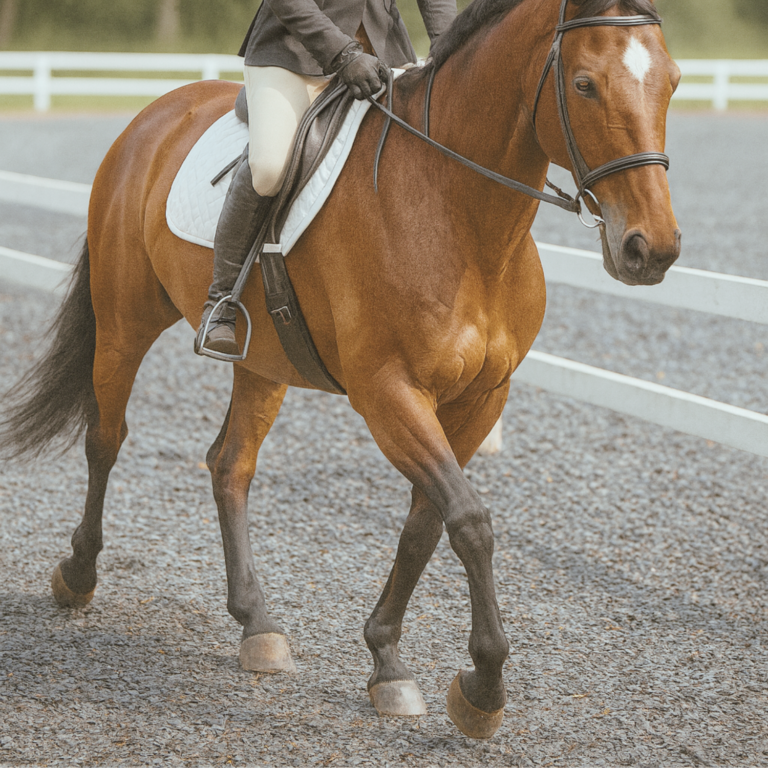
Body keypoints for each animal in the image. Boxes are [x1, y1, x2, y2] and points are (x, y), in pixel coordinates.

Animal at [0, 0, 680, 739]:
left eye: (672, 82)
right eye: (584, 85)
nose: (652, 250)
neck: (457, 212)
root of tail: (156, 112)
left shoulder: (481, 399)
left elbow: (427, 524)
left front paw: (389, 663)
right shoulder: (388, 392)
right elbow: (471, 522)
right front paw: (483, 687)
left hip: (263, 360)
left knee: (230, 464)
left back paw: (257, 627)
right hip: (125, 320)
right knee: (105, 438)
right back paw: (77, 575)